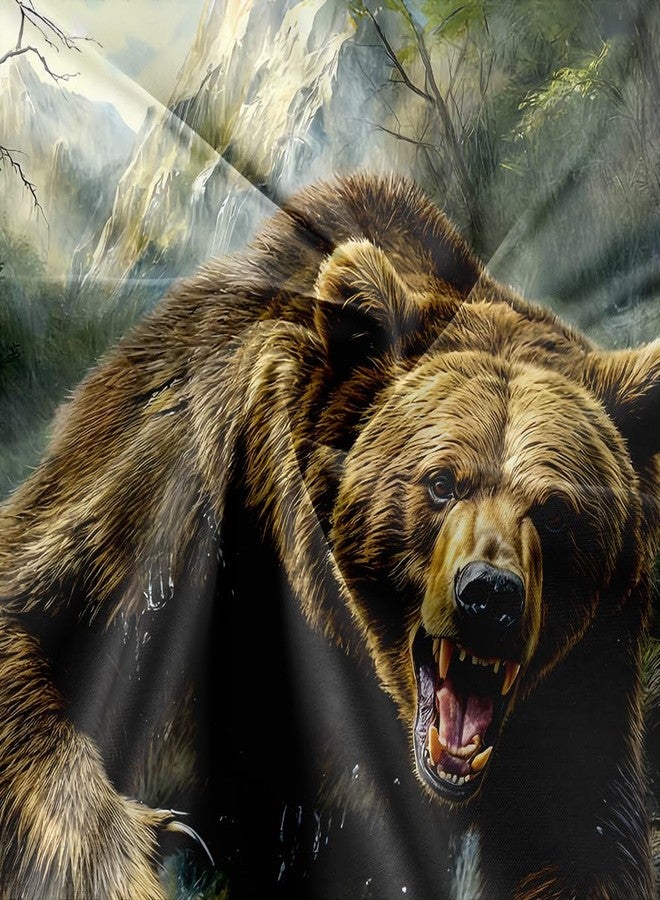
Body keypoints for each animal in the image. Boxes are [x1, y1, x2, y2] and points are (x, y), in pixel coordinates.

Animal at [0, 173, 658, 898]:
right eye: (441, 482)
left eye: (556, 510)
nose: (490, 594)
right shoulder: (181, 479)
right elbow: (36, 619)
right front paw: (141, 847)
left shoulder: (588, 671)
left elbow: (583, 838)